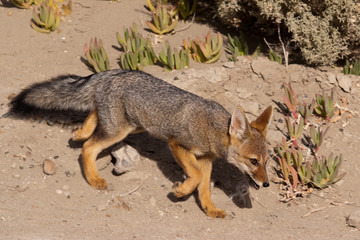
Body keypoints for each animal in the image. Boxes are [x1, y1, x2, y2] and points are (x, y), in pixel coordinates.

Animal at [7, 68, 272, 218]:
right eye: (253, 161)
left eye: (266, 162)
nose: (267, 184)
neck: (211, 129)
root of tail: (112, 72)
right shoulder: (177, 145)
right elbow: (195, 177)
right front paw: (181, 191)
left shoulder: (205, 161)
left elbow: (204, 187)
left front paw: (210, 209)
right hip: (120, 131)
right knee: (88, 148)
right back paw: (93, 178)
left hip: (130, 125)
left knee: (93, 115)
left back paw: (81, 131)